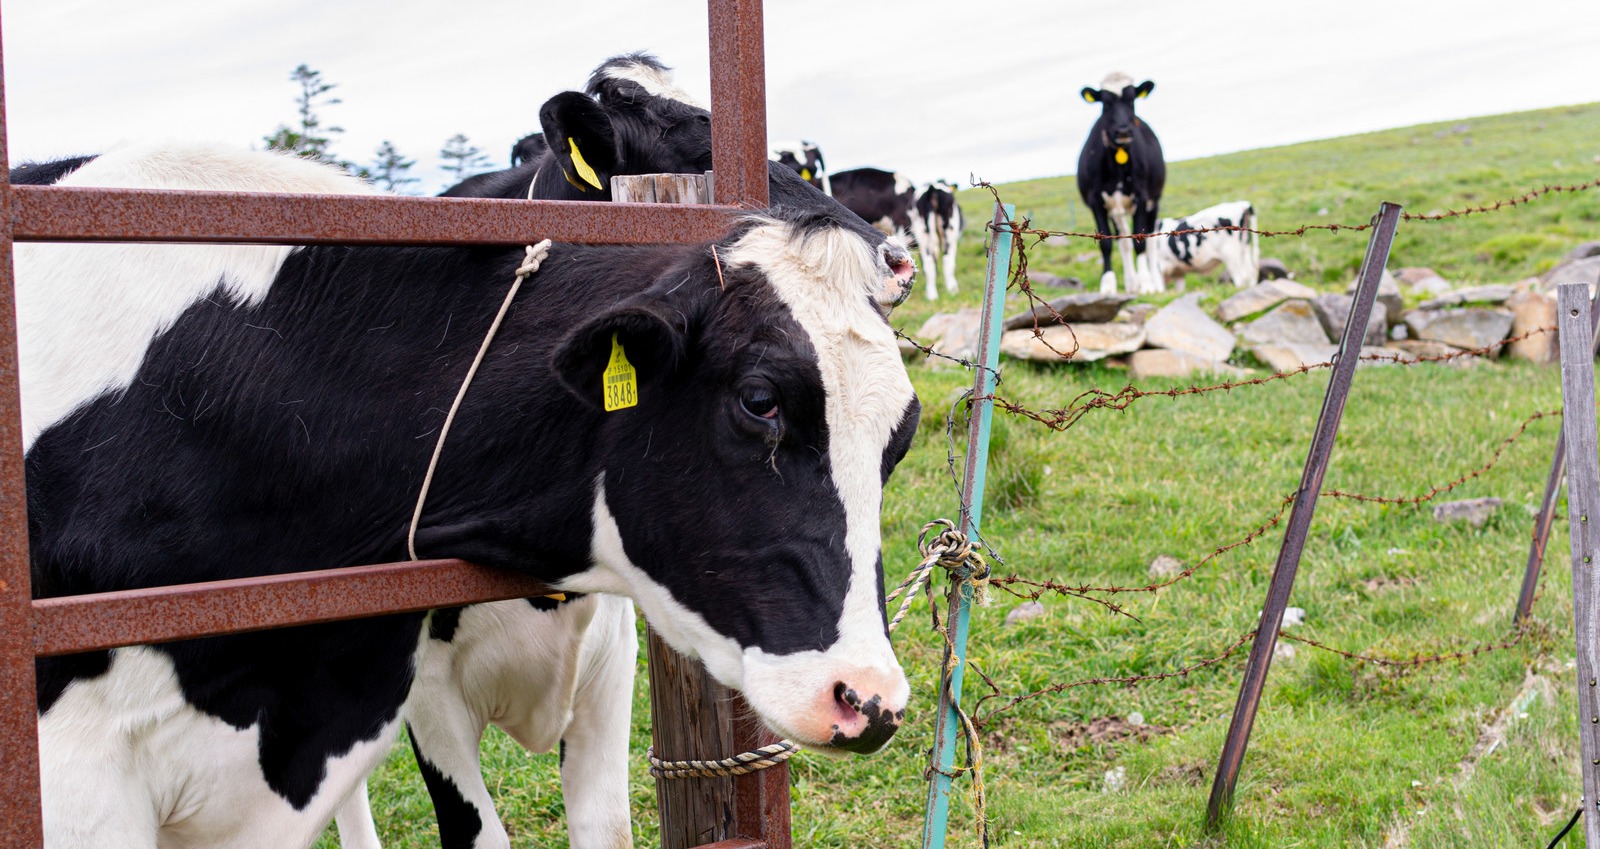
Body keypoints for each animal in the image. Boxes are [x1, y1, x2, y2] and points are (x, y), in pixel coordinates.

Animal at [1075, 73, 1164, 298]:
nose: (1123, 130)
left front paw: (1147, 284)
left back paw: (1155, 281)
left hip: (1154, 201)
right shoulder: (1096, 201)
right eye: (1105, 102)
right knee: (1123, 241)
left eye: (1131, 99)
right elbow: (1106, 243)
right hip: (1118, 210)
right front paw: (1108, 285)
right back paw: (1131, 283)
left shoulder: (1141, 197)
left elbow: (1140, 241)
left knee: (1151, 240)